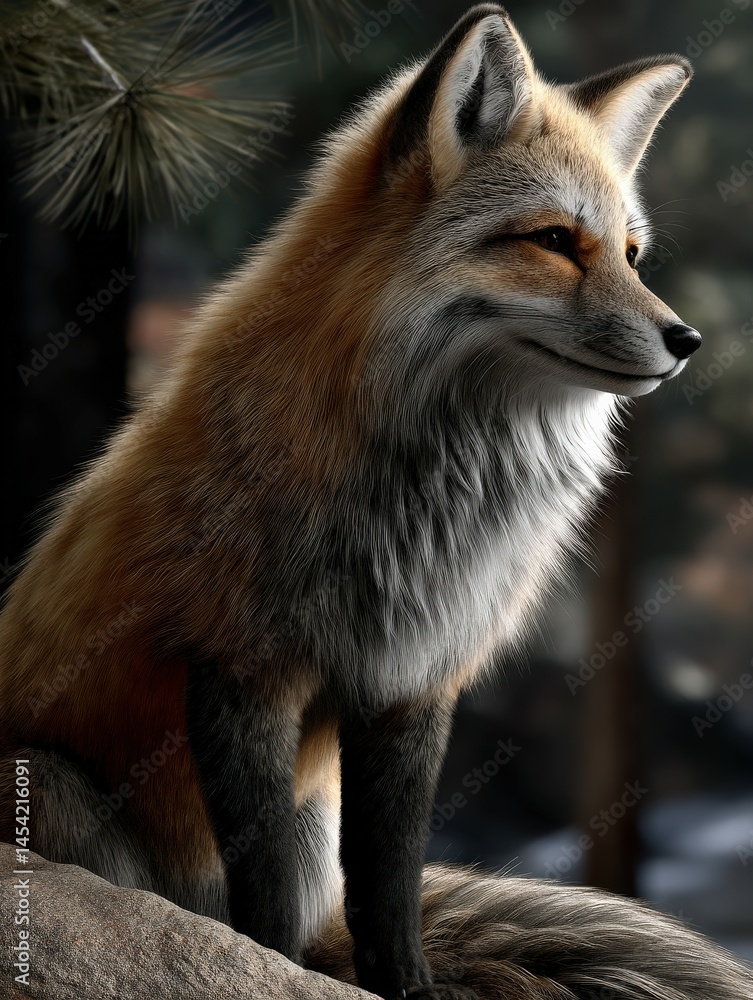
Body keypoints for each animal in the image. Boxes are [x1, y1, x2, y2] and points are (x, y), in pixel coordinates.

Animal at [2, 4, 744, 999]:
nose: (685, 339)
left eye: (631, 254)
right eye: (555, 240)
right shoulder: (238, 662)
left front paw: (404, 986)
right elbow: (264, 896)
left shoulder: (412, 676)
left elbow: (389, 882)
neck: (423, 506)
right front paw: (264, 974)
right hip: (54, 789)